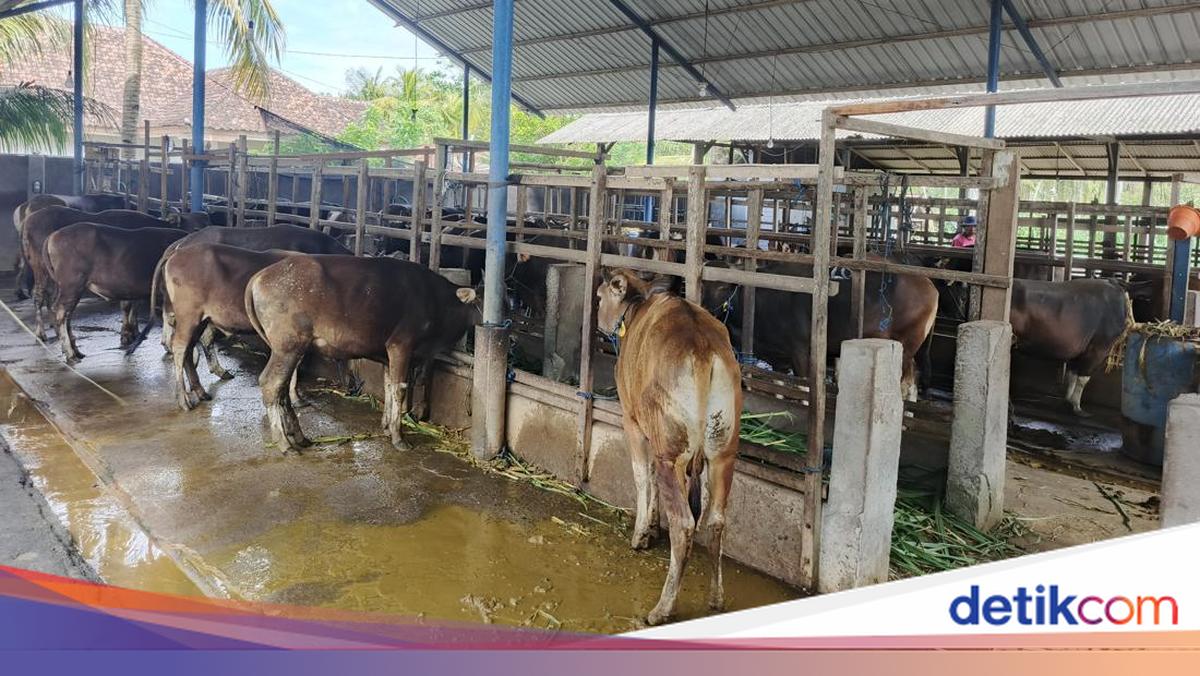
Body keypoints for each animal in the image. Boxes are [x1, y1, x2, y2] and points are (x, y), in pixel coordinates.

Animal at [44, 224, 187, 361]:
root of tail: (52, 236)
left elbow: (166, 315)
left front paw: (167, 346)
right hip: (72, 284)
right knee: (61, 312)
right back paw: (70, 354)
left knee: (67, 315)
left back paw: (76, 351)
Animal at [244, 255, 479, 453]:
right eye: (479, 303)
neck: (435, 300)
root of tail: (259, 277)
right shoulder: (401, 345)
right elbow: (399, 389)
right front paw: (398, 437)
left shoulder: (387, 355)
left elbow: (388, 387)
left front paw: (386, 426)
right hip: (288, 347)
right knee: (272, 384)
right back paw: (285, 443)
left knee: (282, 389)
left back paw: (299, 437)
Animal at [595, 268, 741, 626]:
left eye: (599, 297)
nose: (598, 321)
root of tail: (702, 349)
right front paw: (651, 529)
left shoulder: (632, 420)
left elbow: (641, 476)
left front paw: (641, 535)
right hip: (723, 450)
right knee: (716, 520)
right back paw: (716, 597)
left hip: (670, 451)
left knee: (685, 523)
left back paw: (662, 607)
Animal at [703, 259, 939, 401]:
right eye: (704, 282)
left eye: (723, 286)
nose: (704, 309)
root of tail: (929, 285)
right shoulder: (778, 358)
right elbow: (777, 387)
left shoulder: (801, 353)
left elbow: (804, 389)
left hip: (906, 347)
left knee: (906, 384)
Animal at [1009, 278, 1131, 416]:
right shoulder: (1099, 348)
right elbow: (1083, 378)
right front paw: (1078, 407)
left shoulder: (1079, 350)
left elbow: (1072, 374)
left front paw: (1068, 400)